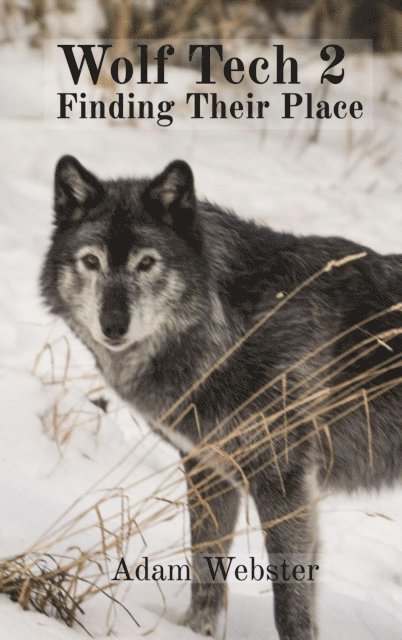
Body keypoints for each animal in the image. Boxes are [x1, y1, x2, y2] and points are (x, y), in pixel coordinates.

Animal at [41, 155, 402, 640]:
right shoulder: (207, 468)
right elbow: (205, 568)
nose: (113, 326)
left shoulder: (282, 479)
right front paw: (196, 630)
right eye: (91, 261)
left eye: (147, 263)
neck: (229, 323)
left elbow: (290, 600)